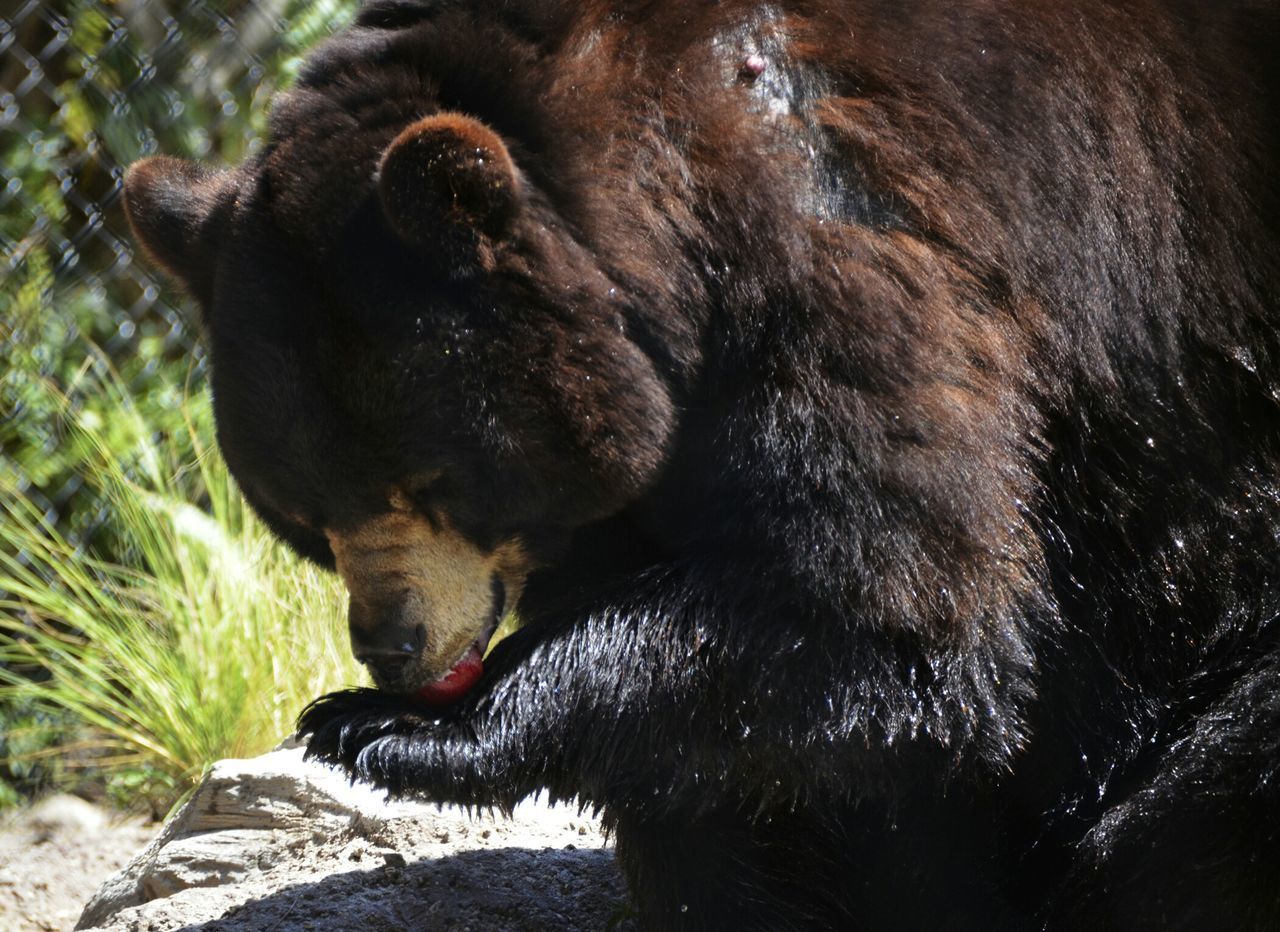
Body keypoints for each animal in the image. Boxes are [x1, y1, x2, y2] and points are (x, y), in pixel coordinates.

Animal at [122, 0, 1280, 926]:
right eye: (305, 514)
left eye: (431, 478)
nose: (392, 647)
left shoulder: (853, 260)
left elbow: (883, 614)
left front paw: (385, 727)